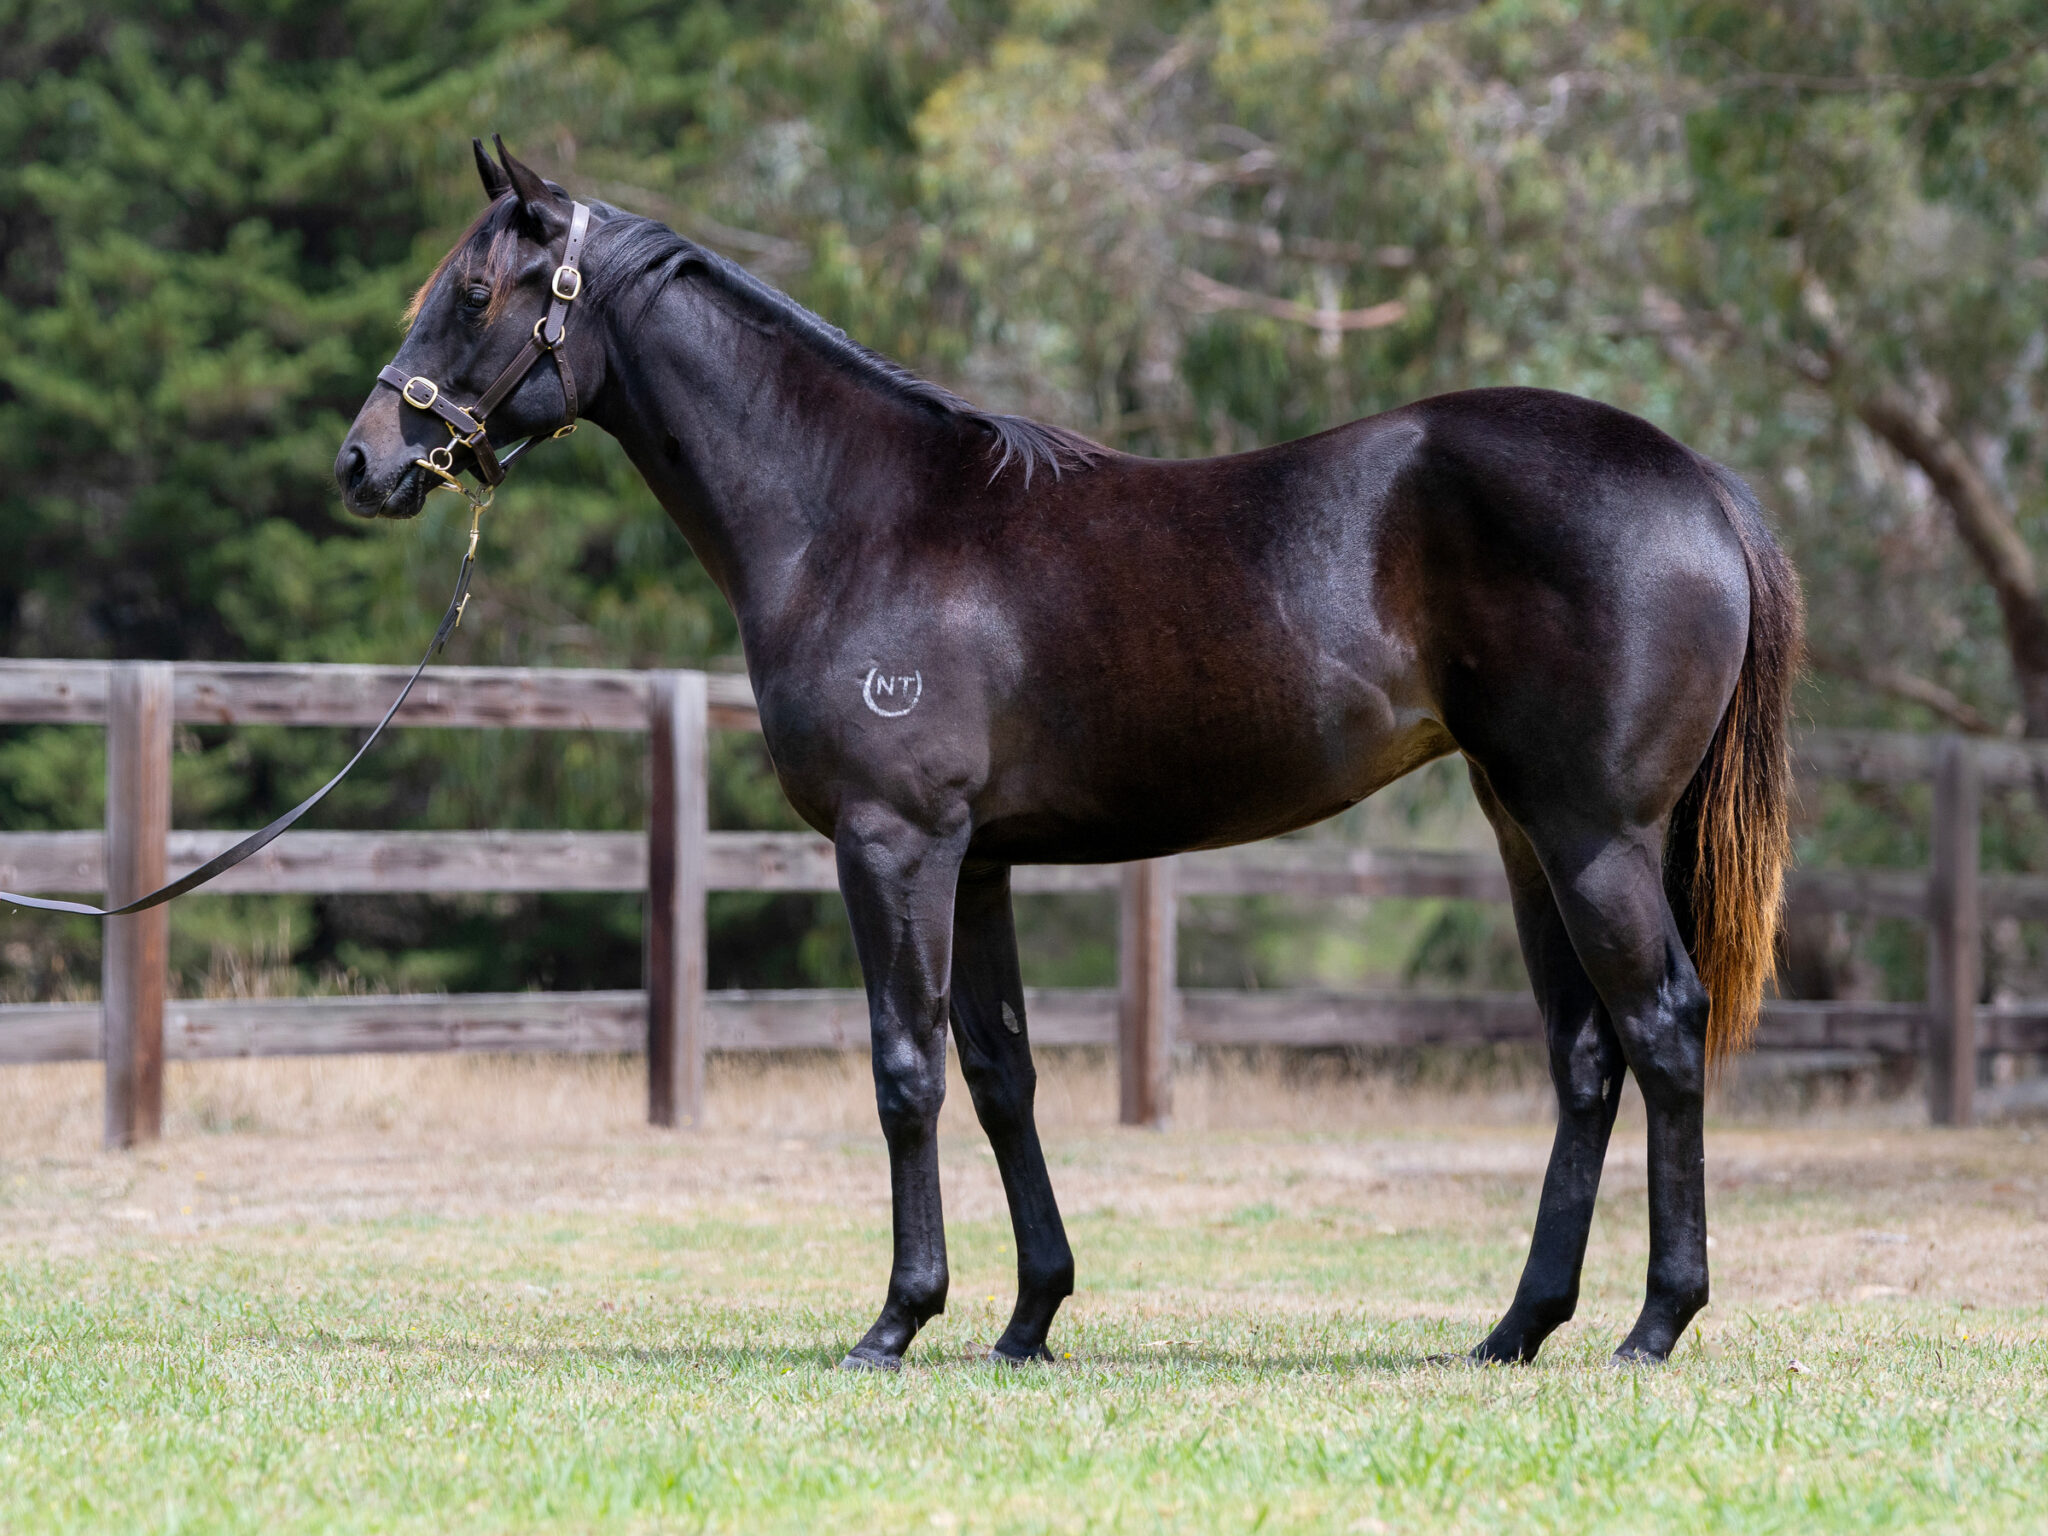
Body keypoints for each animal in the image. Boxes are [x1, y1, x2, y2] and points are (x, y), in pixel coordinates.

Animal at [339, 141, 1810, 1368]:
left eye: (473, 293)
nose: (363, 462)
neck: (855, 517)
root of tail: (1695, 483)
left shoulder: (895, 844)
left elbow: (905, 1070)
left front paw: (897, 1319)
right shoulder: (978, 861)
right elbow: (1001, 1074)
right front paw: (1027, 1318)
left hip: (1593, 836)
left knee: (1661, 1029)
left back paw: (1653, 1325)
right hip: (1525, 834)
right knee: (1585, 1057)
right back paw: (1517, 1328)